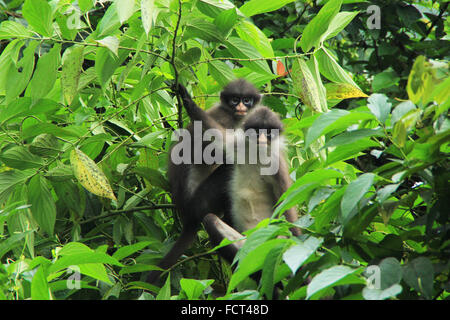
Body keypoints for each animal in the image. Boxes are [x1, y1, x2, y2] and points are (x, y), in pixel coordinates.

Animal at [146, 79, 262, 284]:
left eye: (246, 100)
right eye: (235, 100)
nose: (241, 107)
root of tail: (187, 216)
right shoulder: (224, 120)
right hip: (202, 200)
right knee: (230, 168)